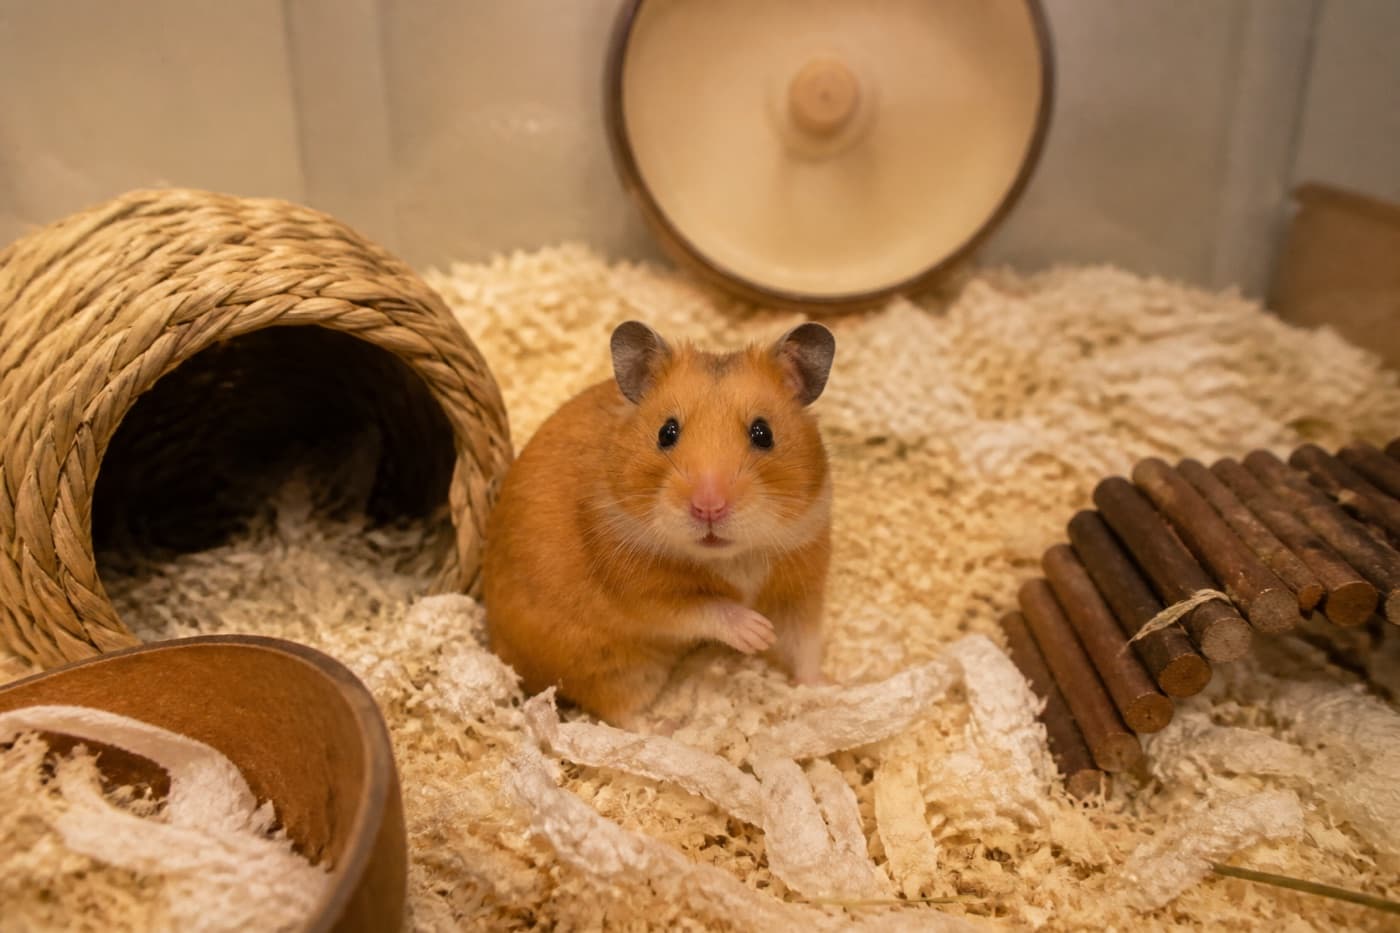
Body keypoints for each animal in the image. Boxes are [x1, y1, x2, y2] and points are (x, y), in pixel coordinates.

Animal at [482, 320, 836, 726]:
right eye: (667, 432)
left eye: (763, 433)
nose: (708, 506)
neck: (730, 556)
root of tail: (503, 653)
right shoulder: (641, 590)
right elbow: (703, 609)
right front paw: (757, 633)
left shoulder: (802, 587)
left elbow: (804, 646)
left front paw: (824, 690)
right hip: (610, 668)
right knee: (622, 716)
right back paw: (664, 728)